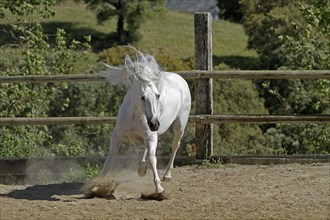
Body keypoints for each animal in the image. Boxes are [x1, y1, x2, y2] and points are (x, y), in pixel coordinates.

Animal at [102, 49, 192, 192]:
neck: (135, 116)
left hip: (180, 125)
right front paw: (98, 183)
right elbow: (109, 160)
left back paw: (166, 175)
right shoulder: (117, 136)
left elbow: (152, 159)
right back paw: (141, 168)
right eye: (142, 97)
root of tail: (180, 78)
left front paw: (159, 188)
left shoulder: (152, 136)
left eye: (157, 95)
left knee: (175, 145)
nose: (154, 124)